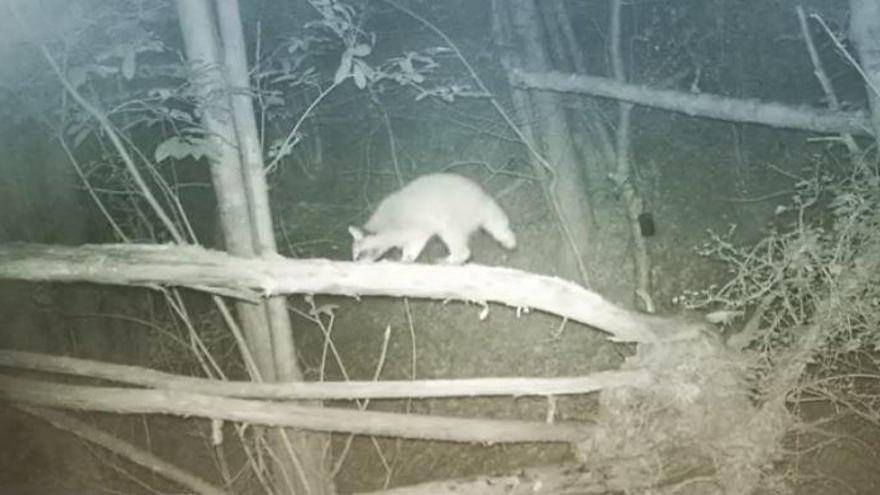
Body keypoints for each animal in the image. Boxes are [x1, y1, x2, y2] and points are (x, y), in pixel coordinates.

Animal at [348, 173, 516, 266]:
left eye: (358, 254)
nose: (355, 263)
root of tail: (482, 201)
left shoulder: (409, 222)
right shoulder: (419, 229)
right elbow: (416, 242)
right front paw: (407, 257)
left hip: (454, 214)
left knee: (454, 239)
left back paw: (456, 257)